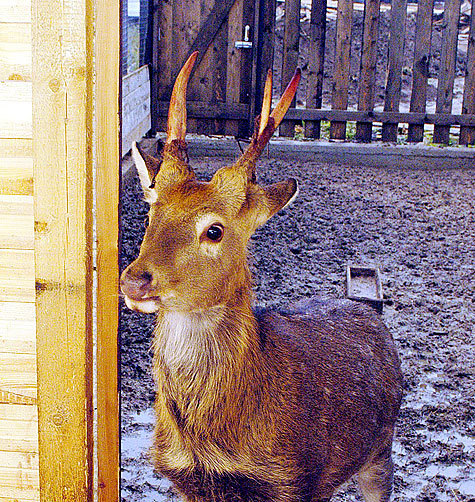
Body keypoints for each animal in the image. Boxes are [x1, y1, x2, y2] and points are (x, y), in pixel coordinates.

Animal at [121, 52, 404, 502]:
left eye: (214, 230)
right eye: (151, 212)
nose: (135, 281)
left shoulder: (297, 479)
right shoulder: (186, 481)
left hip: (381, 446)